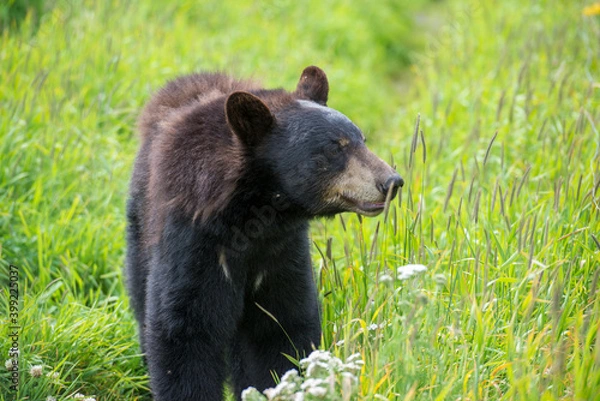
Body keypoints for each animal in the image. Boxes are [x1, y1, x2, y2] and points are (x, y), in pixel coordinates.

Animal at [127, 66, 406, 400]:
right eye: (334, 148)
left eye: (362, 139)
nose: (391, 181)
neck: (253, 220)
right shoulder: (193, 241)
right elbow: (183, 330)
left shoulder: (283, 253)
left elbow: (280, 329)